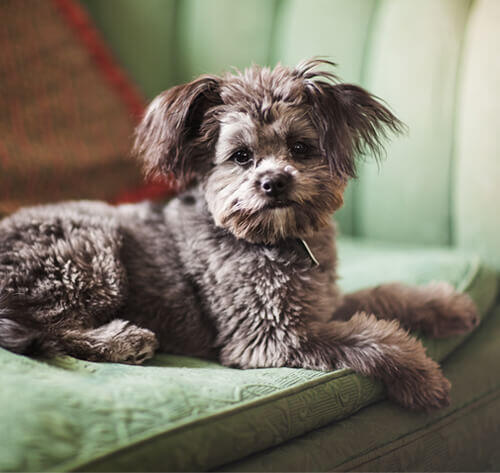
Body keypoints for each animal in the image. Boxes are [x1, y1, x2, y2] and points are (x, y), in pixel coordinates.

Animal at [0, 60, 478, 410]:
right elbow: (372, 339)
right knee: (53, 330)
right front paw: (422, 377)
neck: (276, 241)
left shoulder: (321, 304)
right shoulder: (270, 337)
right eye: (241, 156)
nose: (274, 182)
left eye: (301, 148)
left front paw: (443, 304)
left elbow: (382, 297)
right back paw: (125, 340)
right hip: (89, 255)